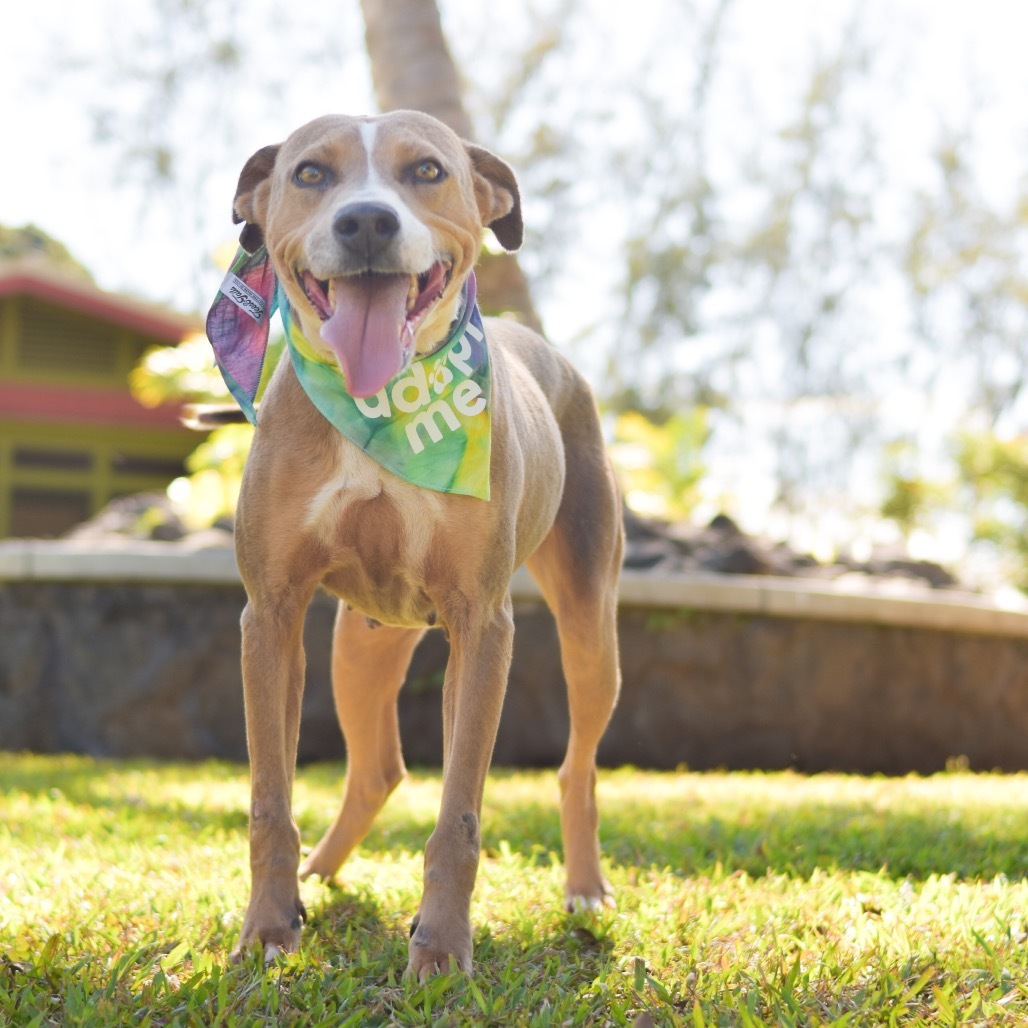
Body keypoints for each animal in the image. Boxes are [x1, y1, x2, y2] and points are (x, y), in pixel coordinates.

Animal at [198, 112, 616, 978]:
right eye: (311, 173)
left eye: (426, 170)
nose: (365, 221)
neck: (381, 407)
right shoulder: (271, 616)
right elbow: (268, 799)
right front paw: (268, 928)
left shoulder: (483, 625)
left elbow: (459, 815)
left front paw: (443, 949)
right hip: (358, 646)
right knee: (378, 769)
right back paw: (317, 875)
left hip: (591, 627)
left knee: (577, 767)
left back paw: (585, 889)